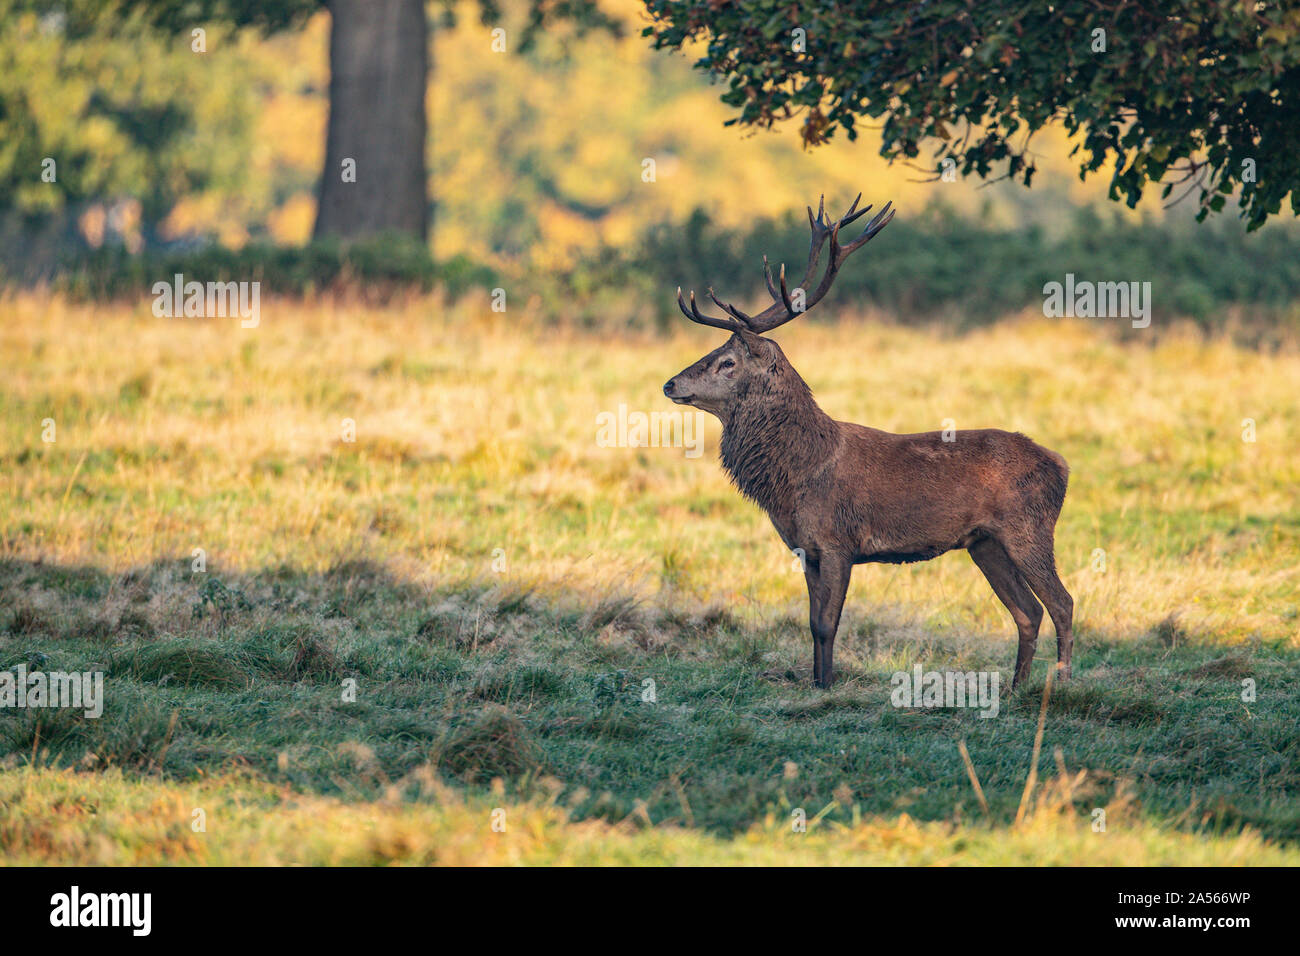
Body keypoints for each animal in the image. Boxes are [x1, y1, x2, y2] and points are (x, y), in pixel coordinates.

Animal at [662, 195, 1073, 690]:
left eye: (727, 362)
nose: (670, 384)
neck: (795, 478)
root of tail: (1063, 465)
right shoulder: (806, 550)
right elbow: (812, 624)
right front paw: (816, 684)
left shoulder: (839, 541)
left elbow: (827, 623)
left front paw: (826, 687)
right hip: (985, 543)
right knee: (1028, 611)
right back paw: (1015, 688)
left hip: (1029, 528)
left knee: (1062, 603)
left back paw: (1064, 683)